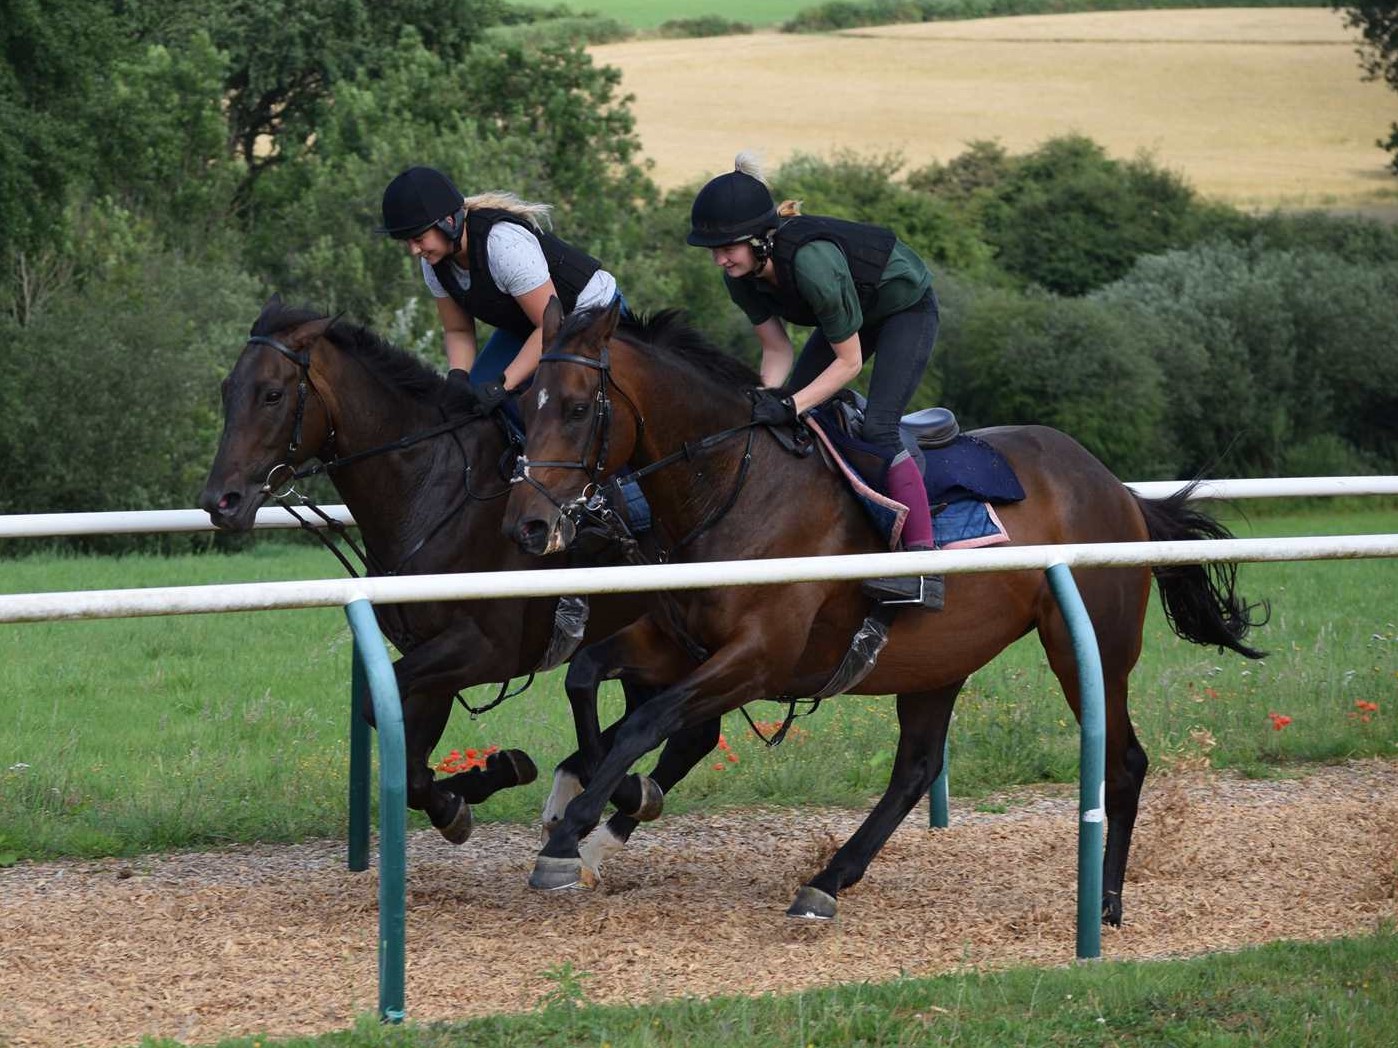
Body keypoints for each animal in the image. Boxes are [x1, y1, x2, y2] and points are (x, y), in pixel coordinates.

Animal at [199, 299, 732, 855]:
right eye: (227, 390)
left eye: (272, 394)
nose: (220, 501)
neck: (429, 489)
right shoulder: (429, 649)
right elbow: (406, 748)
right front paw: (476, 786)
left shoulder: (486, 649)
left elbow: (376, 705)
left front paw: (481, 782)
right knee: (683, 725)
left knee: (686, 727)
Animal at [506, 299, 1269, 922]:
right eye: (525, 405)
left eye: (576, 407)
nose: (530, 525)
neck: (734, 486)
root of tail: (1116, 488)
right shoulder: (680, 644)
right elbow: (587, 681)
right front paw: (606, 801)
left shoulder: (758, 659)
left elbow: (647, 723)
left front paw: (577, 830)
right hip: (941, 658)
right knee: (916, 769)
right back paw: (826, 881)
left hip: (1090, 647)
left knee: (1126, 759)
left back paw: (1106, 904)